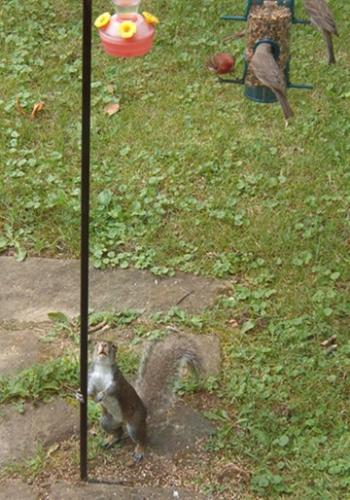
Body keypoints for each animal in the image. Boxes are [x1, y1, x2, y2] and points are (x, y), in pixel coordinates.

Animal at [81, 334, 209, 462]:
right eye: (96, 343)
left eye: (113, 346)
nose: (103, 345)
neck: (102, 368)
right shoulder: (91, 378)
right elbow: (90, 390)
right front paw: (81, 395)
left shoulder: (117, 381)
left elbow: (112, 390)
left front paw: (102, 394)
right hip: (107, 421)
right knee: (118, 432)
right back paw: (110, 439)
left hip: (135, 426)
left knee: (142, 440)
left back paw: (139, 451)